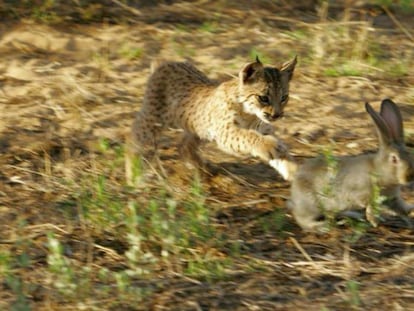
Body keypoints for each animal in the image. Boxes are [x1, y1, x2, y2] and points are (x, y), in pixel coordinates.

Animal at [290, 98, 414, 233]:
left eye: (409, 154)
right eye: (394, 159)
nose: (409, 177)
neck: (378, 171)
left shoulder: (393, 199)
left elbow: (401, 208)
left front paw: (410, 211)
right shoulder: (358, 192)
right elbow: (368, 203)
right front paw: (373, 220)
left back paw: (352, 215)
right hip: (310, 203)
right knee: (303, 220)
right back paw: (322, 227)